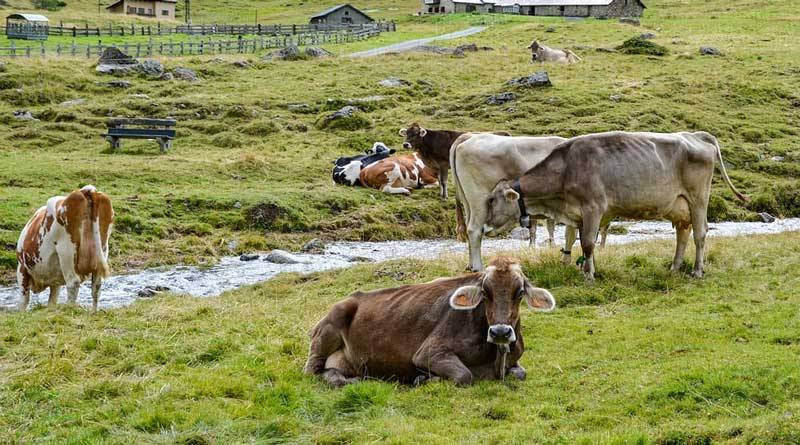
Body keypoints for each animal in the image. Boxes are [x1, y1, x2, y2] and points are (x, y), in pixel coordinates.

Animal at [304, 256, 556, 386]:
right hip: (329, 326)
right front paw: (424, 379)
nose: (501, 332)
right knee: (312, 370)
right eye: (485, 293)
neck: (494, 358)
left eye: (520, 293)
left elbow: (521, 373)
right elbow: (465, 376)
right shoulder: (429, 352)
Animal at [488, 130, 752, 280]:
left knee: (700, 234)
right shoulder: (580, 214)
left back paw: (697, 271)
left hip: (698, 198)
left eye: (491, 200)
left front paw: (589, 276)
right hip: (679, 205)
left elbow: (588, 243)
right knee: (682, 234)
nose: (486, 226)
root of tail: (696, 135)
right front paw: (586, 269)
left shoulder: (593, 207)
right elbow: (582, 243)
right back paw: (674, 268)